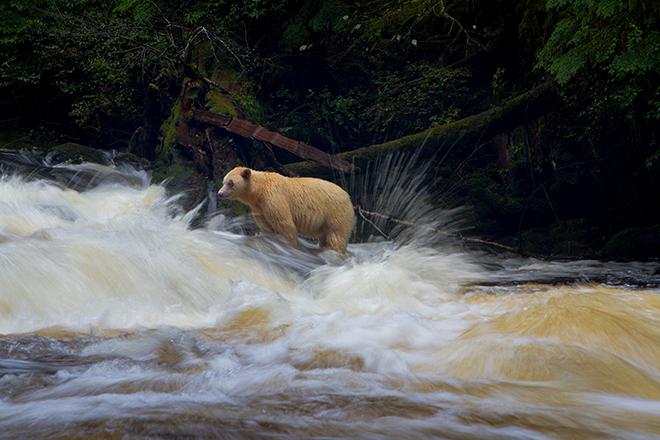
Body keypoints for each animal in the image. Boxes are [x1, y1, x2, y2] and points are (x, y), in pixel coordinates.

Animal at [217, 167, 354, 253]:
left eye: (231, 182)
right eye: (224, 181)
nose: (220, 193)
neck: (259, 191)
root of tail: (348, 197)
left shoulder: (273, 198)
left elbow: (284, 224)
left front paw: (291, 246)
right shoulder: (259, 208)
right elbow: (267, 226)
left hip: (335, 213)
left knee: (336, 237)